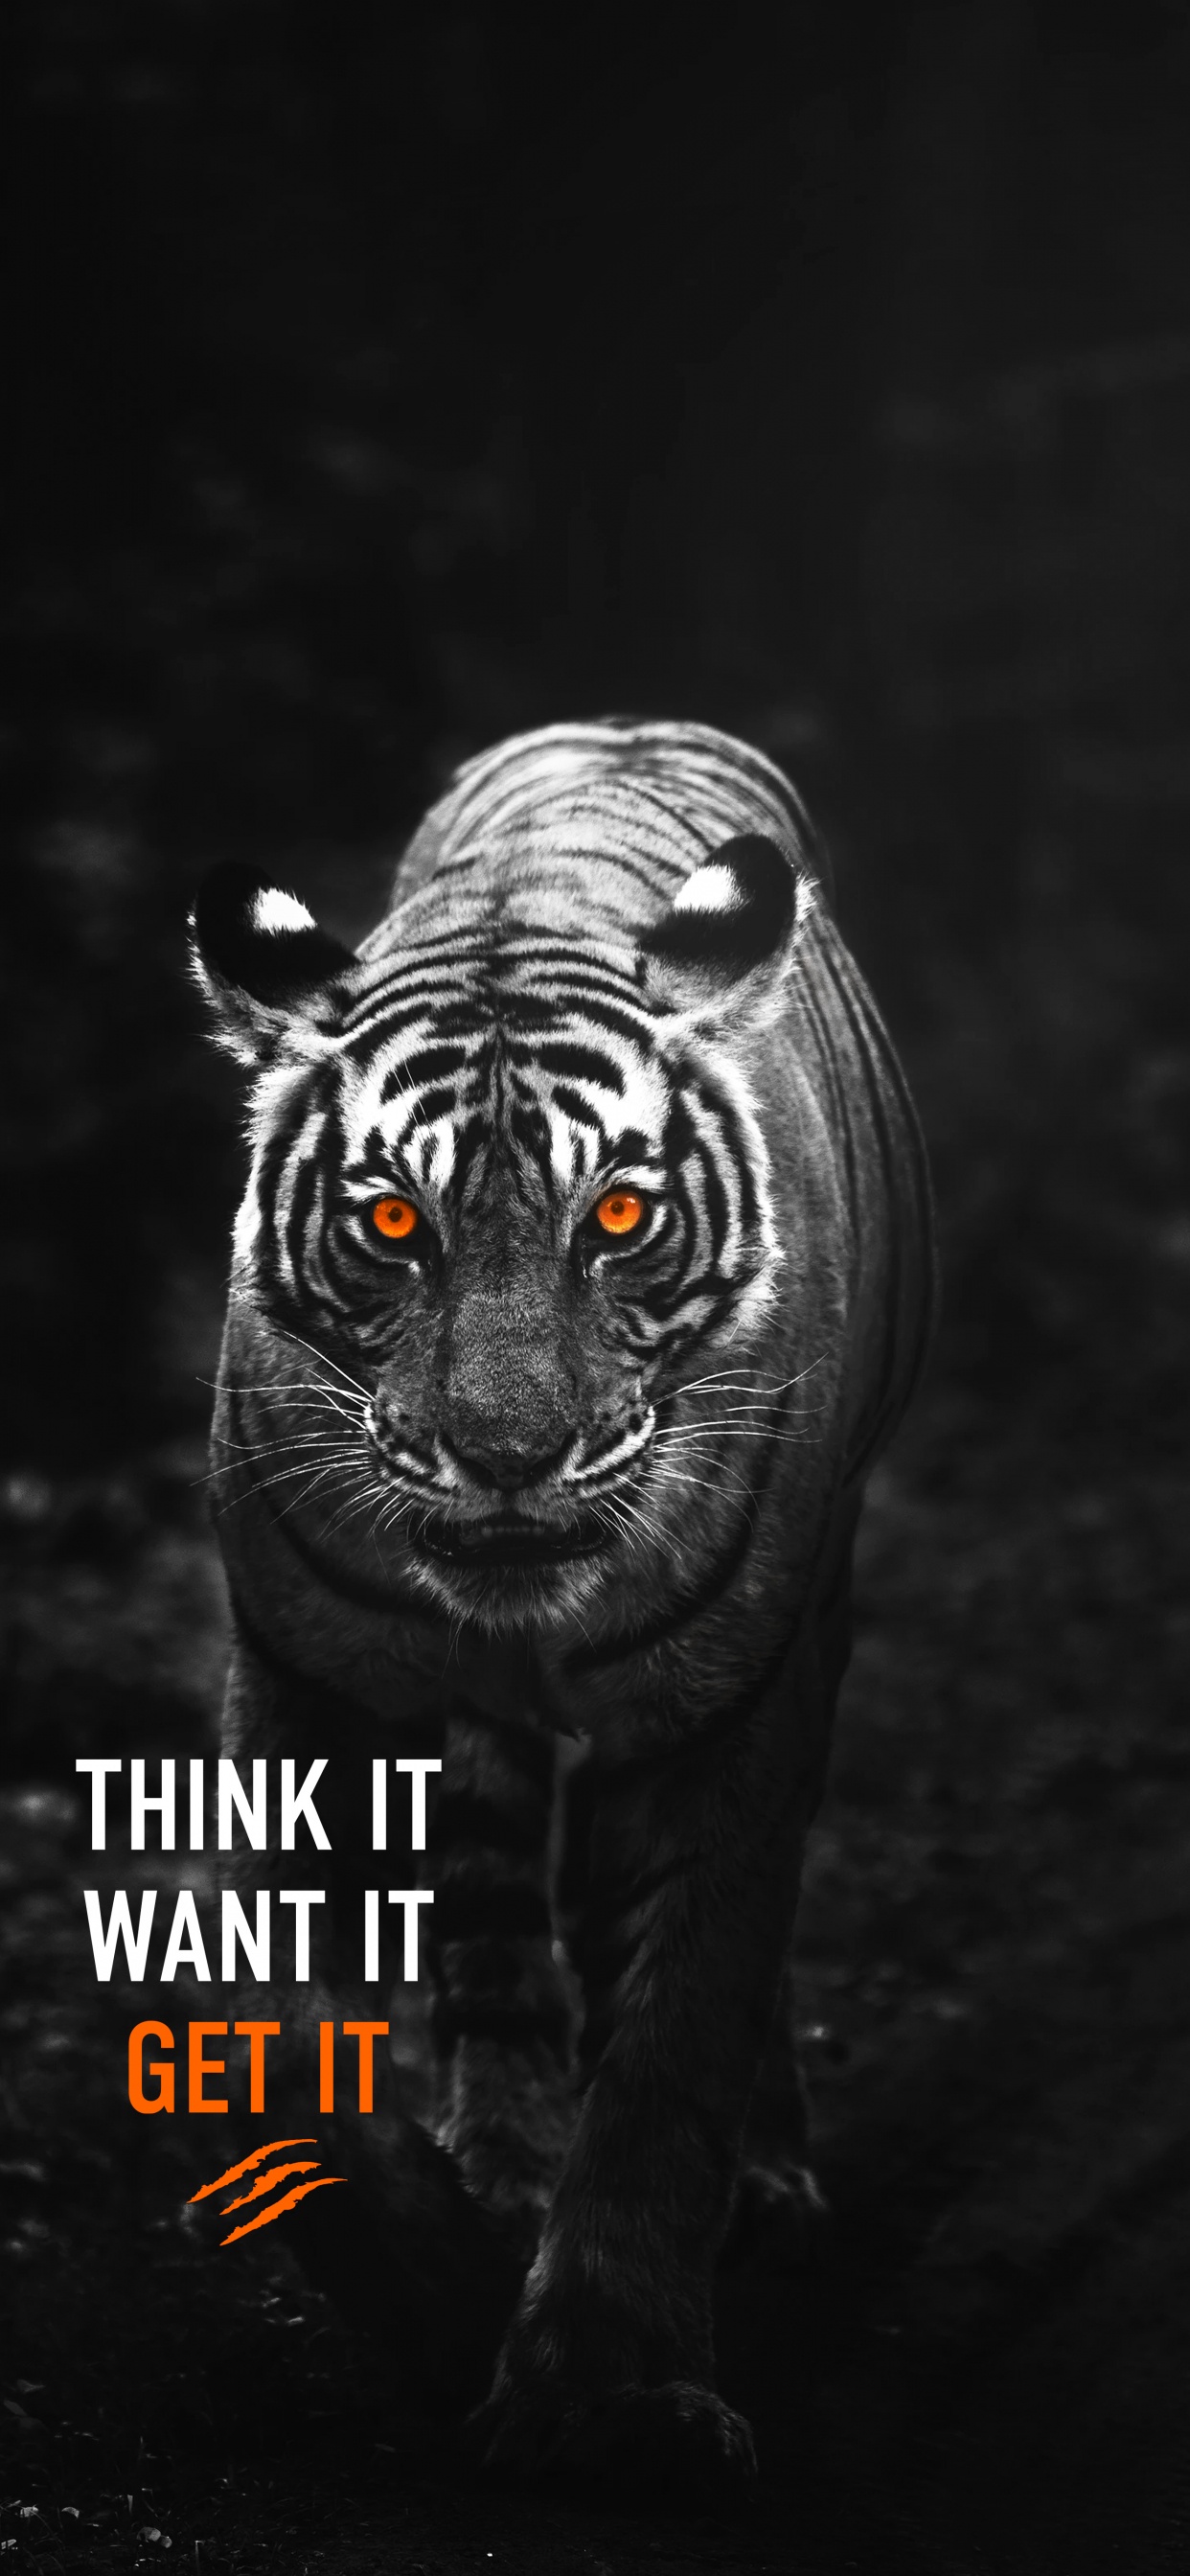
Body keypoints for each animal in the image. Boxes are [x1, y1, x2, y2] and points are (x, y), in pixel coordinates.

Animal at [189, 716, 935, 2495]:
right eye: (393, 1220)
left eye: (619, 1213)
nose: (508, 1456)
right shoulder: (302, 1677)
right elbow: (285, 2041)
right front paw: (436, 2293)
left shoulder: (736, 1702)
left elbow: (677, 2028)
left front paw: (609, 2393)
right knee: (486, 1888)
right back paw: (509, 2149)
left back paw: (755, 2178)